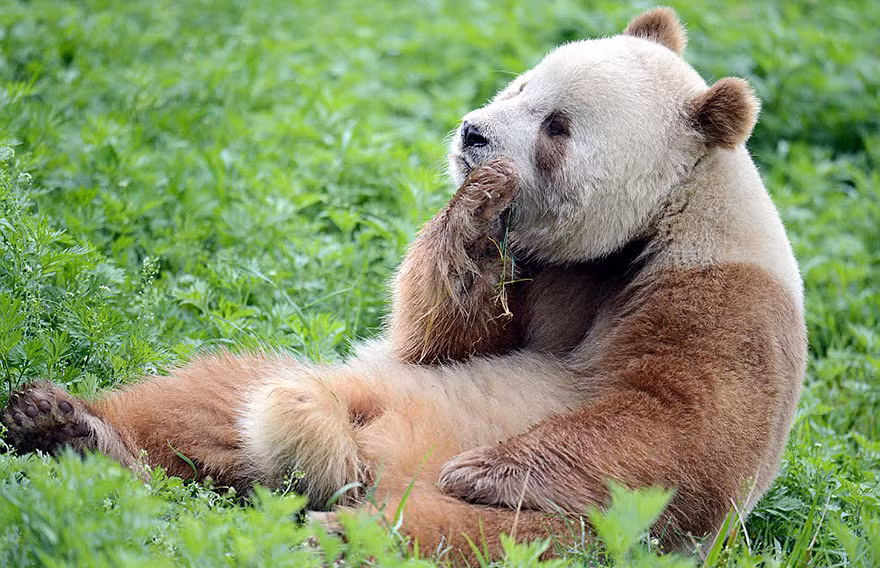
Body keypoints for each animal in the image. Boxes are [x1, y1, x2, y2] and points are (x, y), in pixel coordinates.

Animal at [2, 7, 805, 561]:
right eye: (521, 82)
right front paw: (473, 208)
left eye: (557, 125)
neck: (643, 228)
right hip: (354, 385)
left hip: (577, 528)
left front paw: (486, 468)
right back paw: (69, 428)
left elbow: (677, 426)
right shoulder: (542, 272)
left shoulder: (722, 295)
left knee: (473, 537)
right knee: (209, 397)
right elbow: (440, 340)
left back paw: (333, 535)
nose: (474, 134)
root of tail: (359, 468)